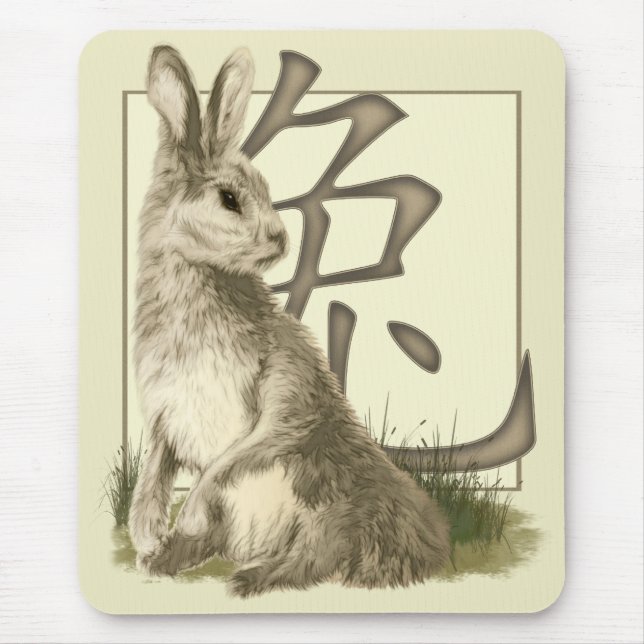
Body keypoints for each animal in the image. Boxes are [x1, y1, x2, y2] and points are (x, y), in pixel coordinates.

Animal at [128, 44, 451, 598]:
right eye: (229, 199)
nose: (280, 240)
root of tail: (435, 546)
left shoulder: (286, 387)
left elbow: (238, 455)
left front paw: (184, 516)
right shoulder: (165, 416)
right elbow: (156, 467)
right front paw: (147, 532)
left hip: (331, 497)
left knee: (315, 555)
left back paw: (247, 578)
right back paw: (169, 560)